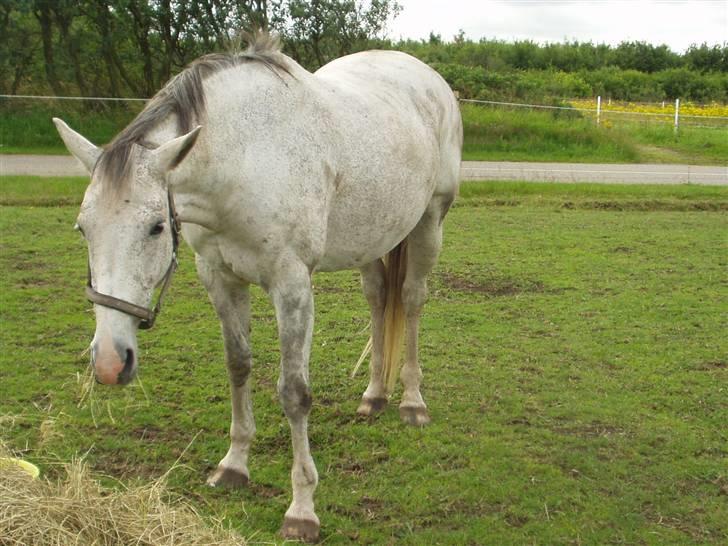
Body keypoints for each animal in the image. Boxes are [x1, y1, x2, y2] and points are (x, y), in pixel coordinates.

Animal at [54, 34, 460, 540]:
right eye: (82, 229)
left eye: (155, 227)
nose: (111, 363)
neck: (244, 157)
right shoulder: (219, 277)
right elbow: (238, 366)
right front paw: (233, 466)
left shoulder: (292, 285)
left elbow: (294, 392)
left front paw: (302, 508)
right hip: (373, 238)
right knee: (379, 300)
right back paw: (374, 396)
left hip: (429, 222)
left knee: (411, 300)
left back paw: (411, 402)